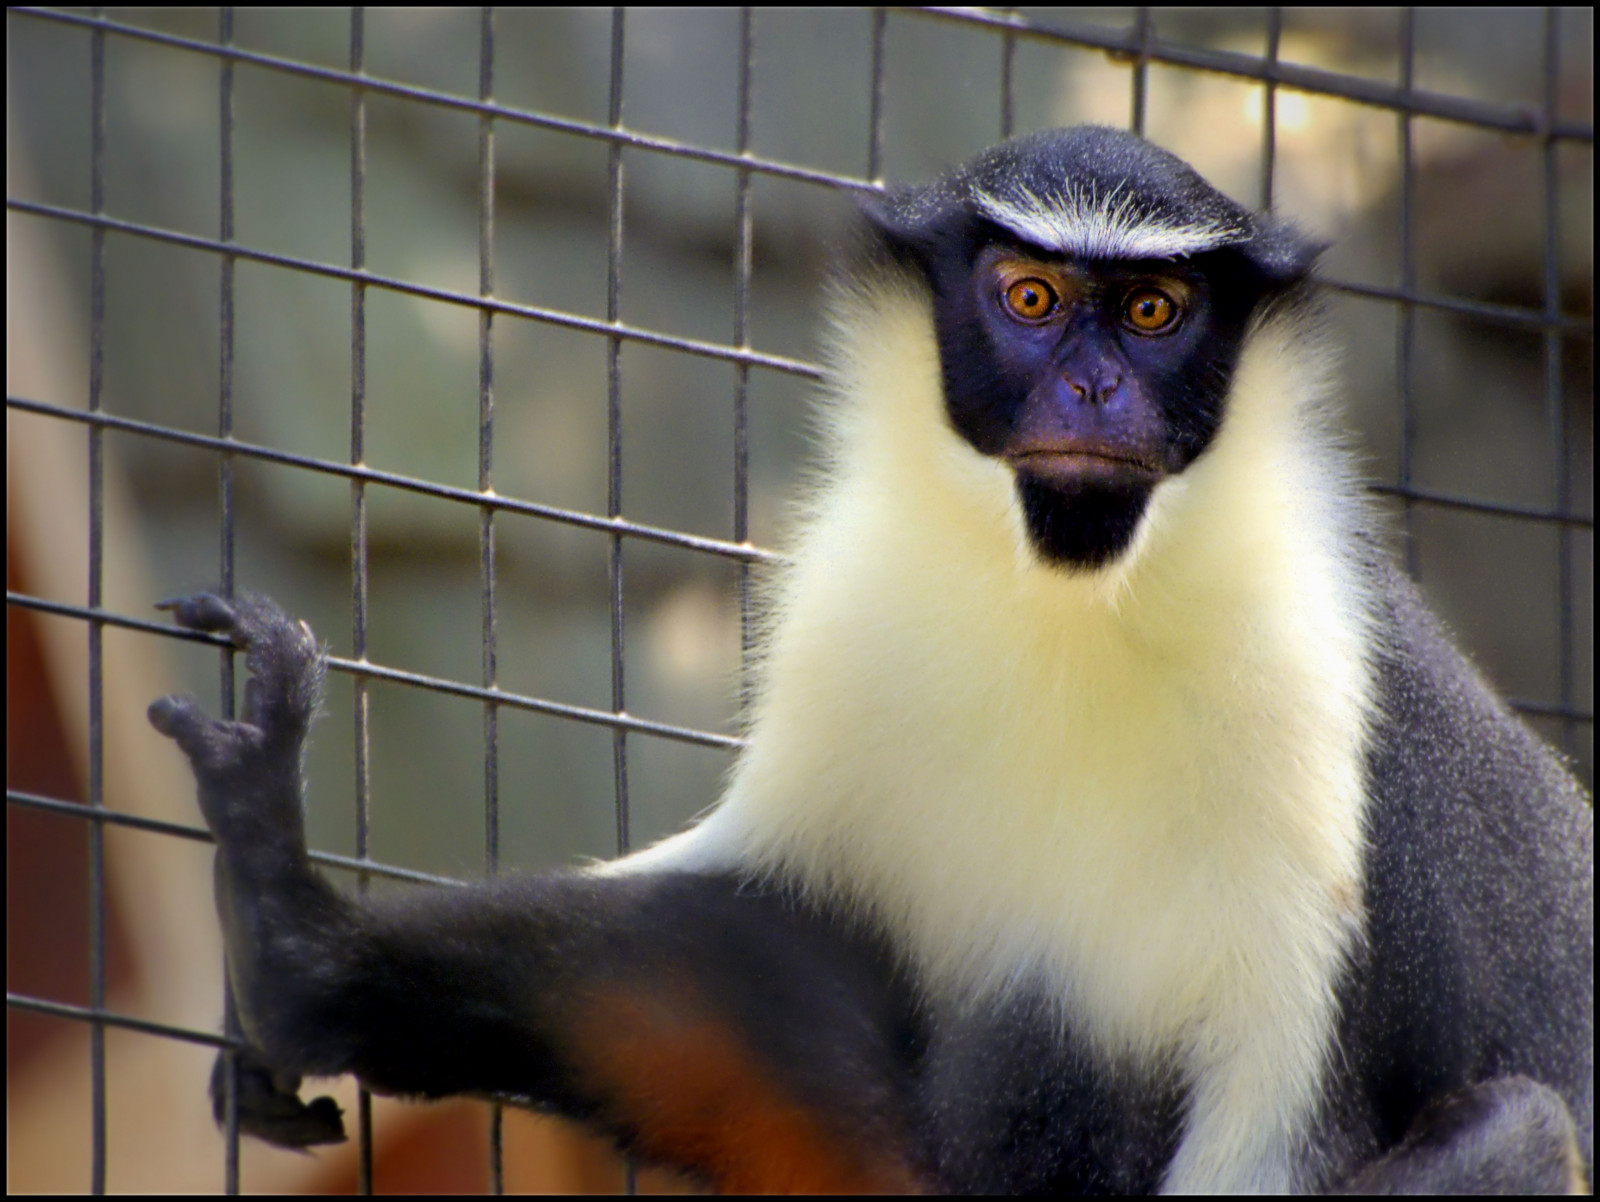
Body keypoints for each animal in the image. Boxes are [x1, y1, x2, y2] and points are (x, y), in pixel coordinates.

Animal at [149, 125, 1592, 1193]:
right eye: (1029, 297)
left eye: (1153, 308)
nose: (1094, 391)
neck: (1070, 603)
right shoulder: (848, 628)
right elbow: (707, 944)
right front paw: (295, 945)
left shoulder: (1312, 708)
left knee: (1518, 1128)